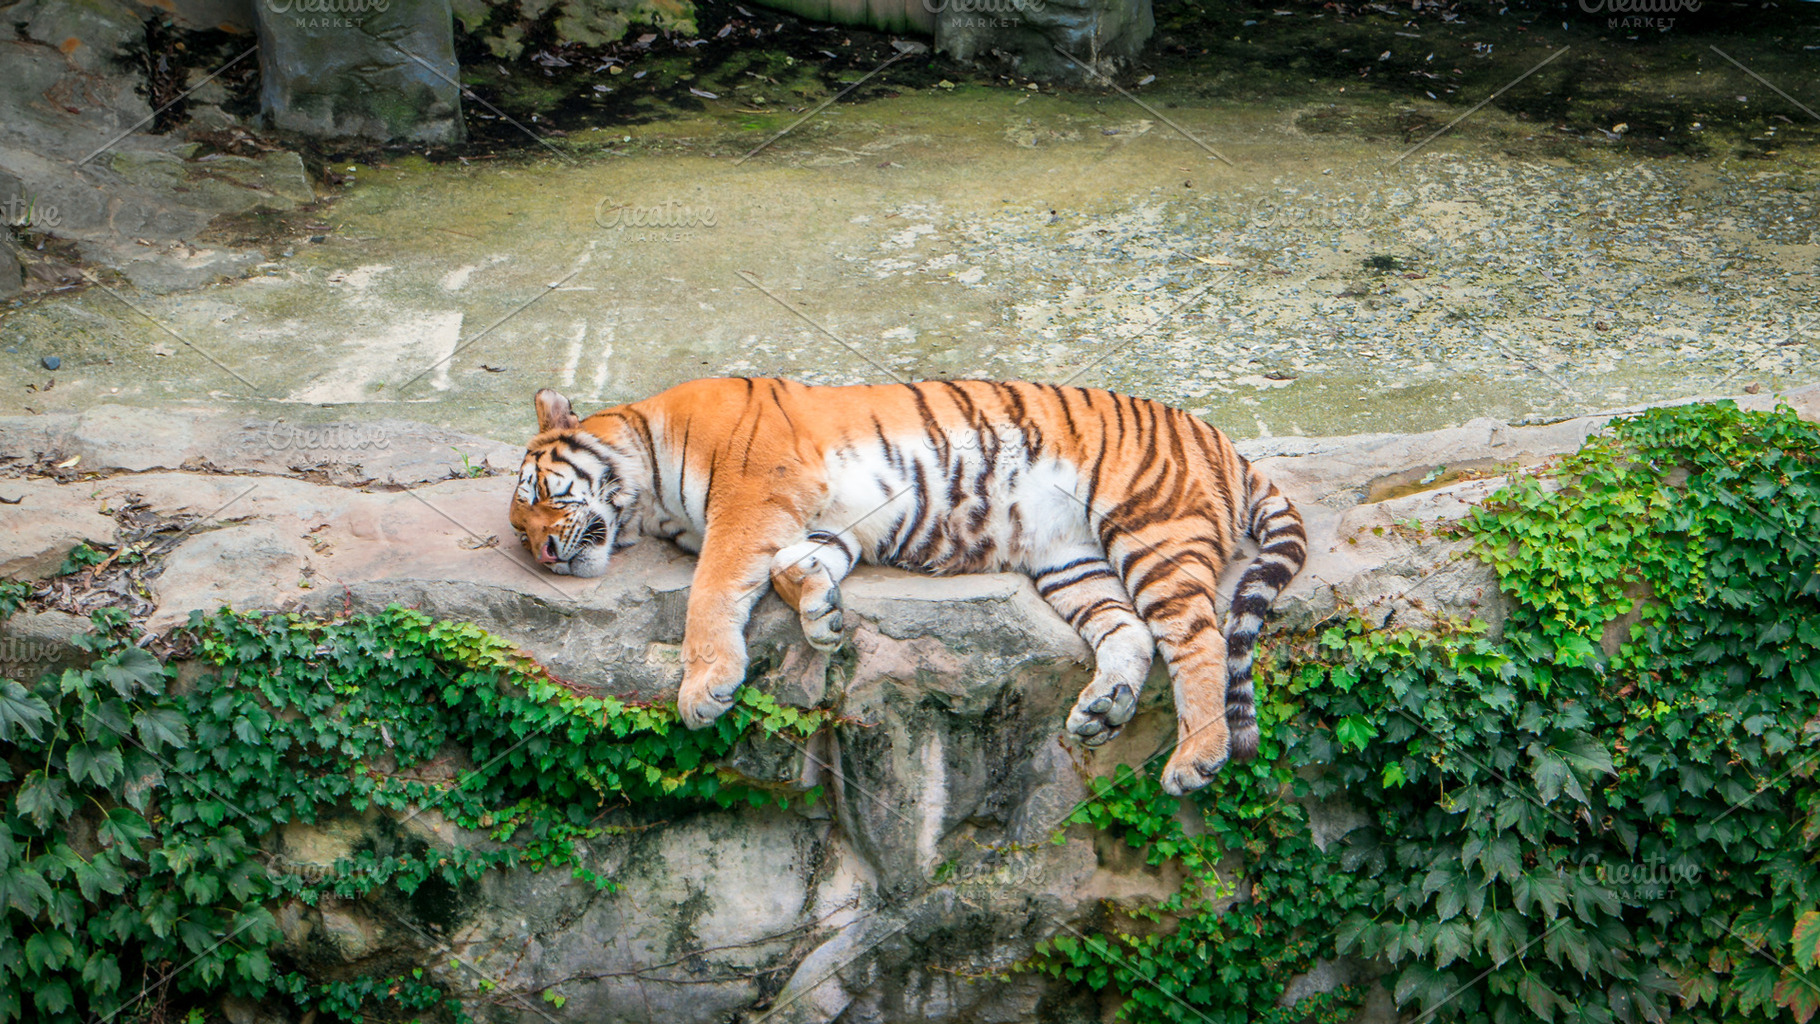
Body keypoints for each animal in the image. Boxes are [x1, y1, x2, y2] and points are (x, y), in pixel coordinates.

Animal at [508, 379, 1306, 795]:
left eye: (543, 492)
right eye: (519, 527)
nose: (544, 552)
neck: (647, 495)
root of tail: (1226, 443)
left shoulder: (752, 497)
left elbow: (714, 587)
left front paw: (704, 688)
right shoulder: (834, 521)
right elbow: (790, 566)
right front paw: (823, 617)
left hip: (1149, 527)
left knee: (1199, 639)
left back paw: (1196, 758)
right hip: (1071, 561)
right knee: (1131, 630)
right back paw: (1103, 709)